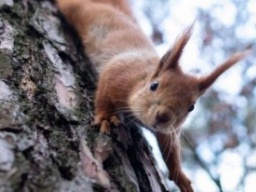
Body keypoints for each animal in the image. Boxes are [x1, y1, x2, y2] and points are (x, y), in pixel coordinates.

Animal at [56, 0, 250, 191]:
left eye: (191, 107)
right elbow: (104, 94)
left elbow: (170, 149)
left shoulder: (169, 130)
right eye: (154, 86)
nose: (163, 116)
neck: (143, 78)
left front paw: (180, 176)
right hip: (81, 10)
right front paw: (106, 117)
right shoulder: (118, 72)